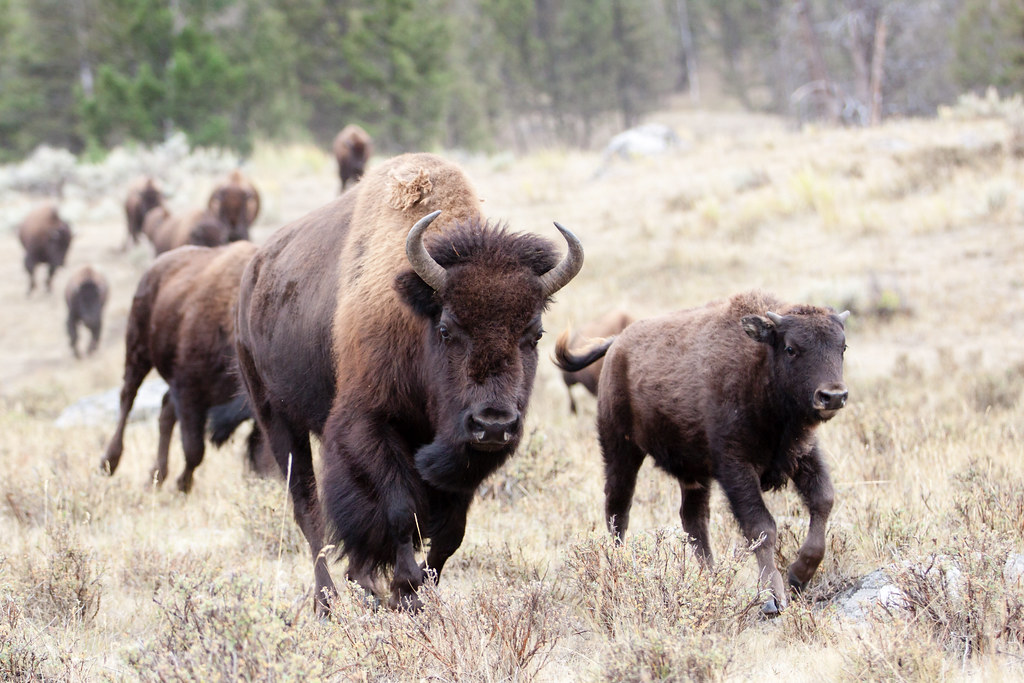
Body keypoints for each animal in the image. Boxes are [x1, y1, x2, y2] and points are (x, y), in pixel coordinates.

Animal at [101, 241, 265, 492]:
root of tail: (156, 267)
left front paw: (178, 485)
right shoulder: (189, 392)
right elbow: (194, 449)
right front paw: (182, 487)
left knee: (165, 410)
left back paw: (155, 477)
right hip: (137, 351)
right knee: (128, 398)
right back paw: (109, 462)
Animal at [235, 152, 583, 613]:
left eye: (535, 334)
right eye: (447, 329)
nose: (492, 424)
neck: (416, 319)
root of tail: (254, 273)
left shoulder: (461, 457)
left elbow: (450, 531)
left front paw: (417, 591)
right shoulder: (368, 425)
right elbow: (400, 510)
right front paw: (405, 588)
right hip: (277, 417)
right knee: (308, 507)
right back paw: (327, 603)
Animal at [555, 290, 849, 615]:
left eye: (843, 347)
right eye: (791, 348)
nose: (833, 396)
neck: (759, 365)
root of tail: (617, 343)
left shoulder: (801, 453)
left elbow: (823, 500)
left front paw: (799, 575)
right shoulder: (735, 466)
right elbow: (762, 526)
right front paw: (773, 598)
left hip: (692, 473)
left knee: (692, 519)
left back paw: (710, 580)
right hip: (620, 449)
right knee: (618, 510)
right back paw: (619, 569)